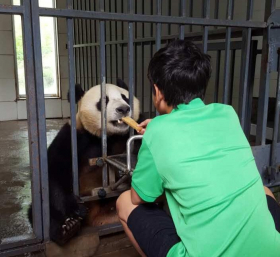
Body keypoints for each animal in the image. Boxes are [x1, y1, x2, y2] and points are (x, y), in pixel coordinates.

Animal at [27, 79, 142, 245]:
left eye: (125, 97)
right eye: (104, 100)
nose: (124, 109)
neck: (110, 136)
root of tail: (97, 220)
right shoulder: (73, 137)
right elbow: (54, 173)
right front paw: (76, 208)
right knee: (41, 211)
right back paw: (67, 228)